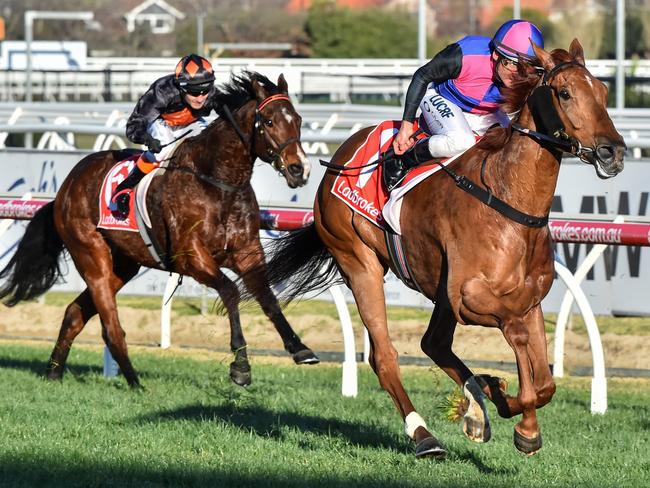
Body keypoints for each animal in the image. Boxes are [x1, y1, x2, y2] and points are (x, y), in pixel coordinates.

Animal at [0, 69, 318, 388]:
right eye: (269, 122)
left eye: (298, 119)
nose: (299, 169)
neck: (216, 180)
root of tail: (65, 188)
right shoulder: (191, 257)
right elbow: (230, 292)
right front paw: (240, 365)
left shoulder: (247, 253)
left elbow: (268, 298)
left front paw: (300, 348)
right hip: (91, 256)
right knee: (110, 327)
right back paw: (135, 383)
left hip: (123, 265)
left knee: (74, 313)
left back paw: (54, 373)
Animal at [256, 42, 624, 458]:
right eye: (564, 93)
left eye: (604, 92)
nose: (613, 152)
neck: (509, 200)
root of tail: (342, 153)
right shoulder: (469, 298)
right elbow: (517, 338)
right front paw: (517, 416)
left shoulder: (527, 299)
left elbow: (546, 383)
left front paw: (507, 406)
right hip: (360, 263)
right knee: (384, 355)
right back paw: (424, 434)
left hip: (436, 289)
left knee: (433, 343)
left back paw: (478, 400)